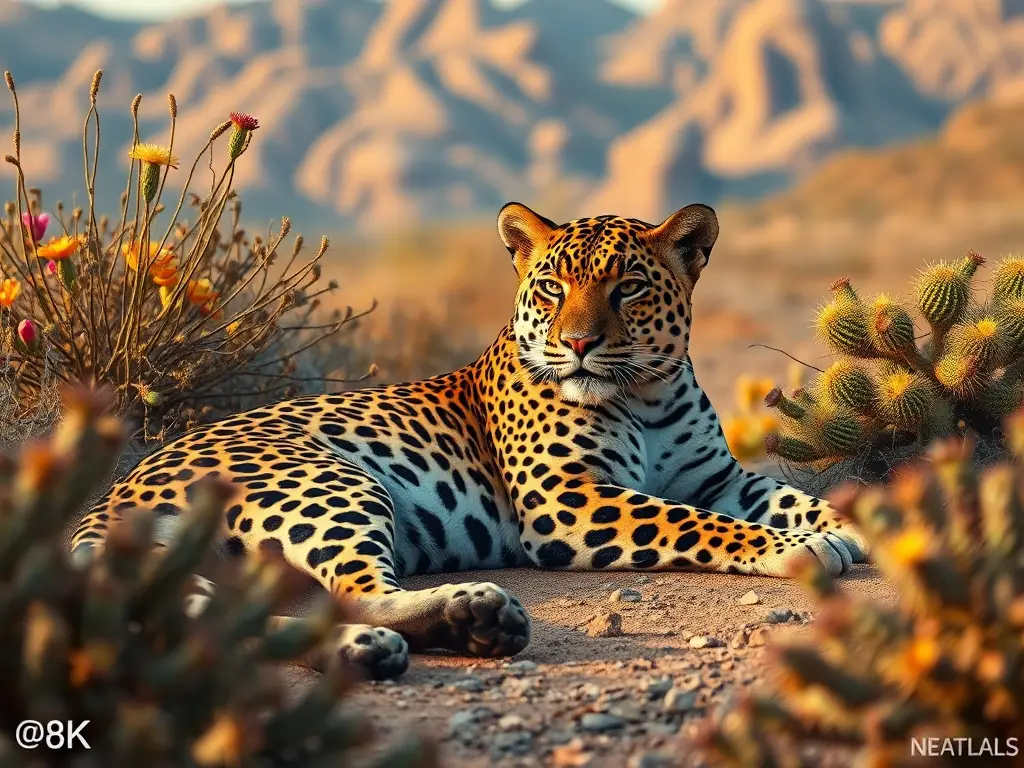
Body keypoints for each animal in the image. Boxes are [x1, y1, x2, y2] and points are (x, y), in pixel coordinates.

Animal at [70, 201, 868, 681]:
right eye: (551, 288)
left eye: (630, 289)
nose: (578, 343)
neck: (646, 395)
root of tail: (112, 494)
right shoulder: (567, 498)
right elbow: (696, 523)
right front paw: (798, 549)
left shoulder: (719, 477)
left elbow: (789, 495)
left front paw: (853, 525)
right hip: (328, 481)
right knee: (357, 593)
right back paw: (449, 621)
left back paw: (459, 629)